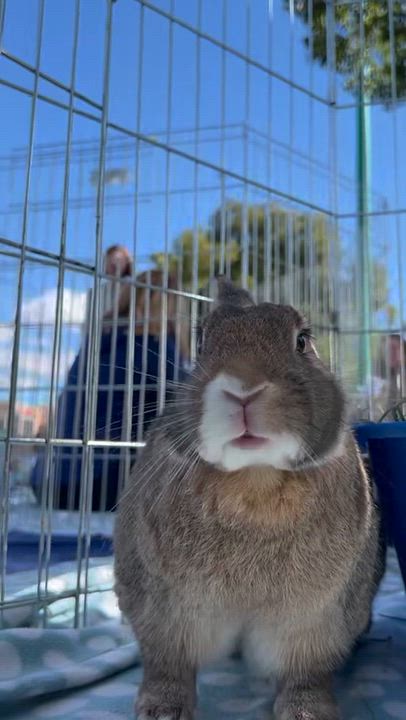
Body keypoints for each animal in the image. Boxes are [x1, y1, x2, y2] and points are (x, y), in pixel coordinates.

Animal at [114, 278, 383, 720]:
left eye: (302, 341)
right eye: (202, 342)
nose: (243, 389)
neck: (255, 479)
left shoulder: (313, 623)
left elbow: (306, 672)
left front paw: (307, 713)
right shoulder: (163, 613)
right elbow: (166, 664)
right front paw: (162, 710)